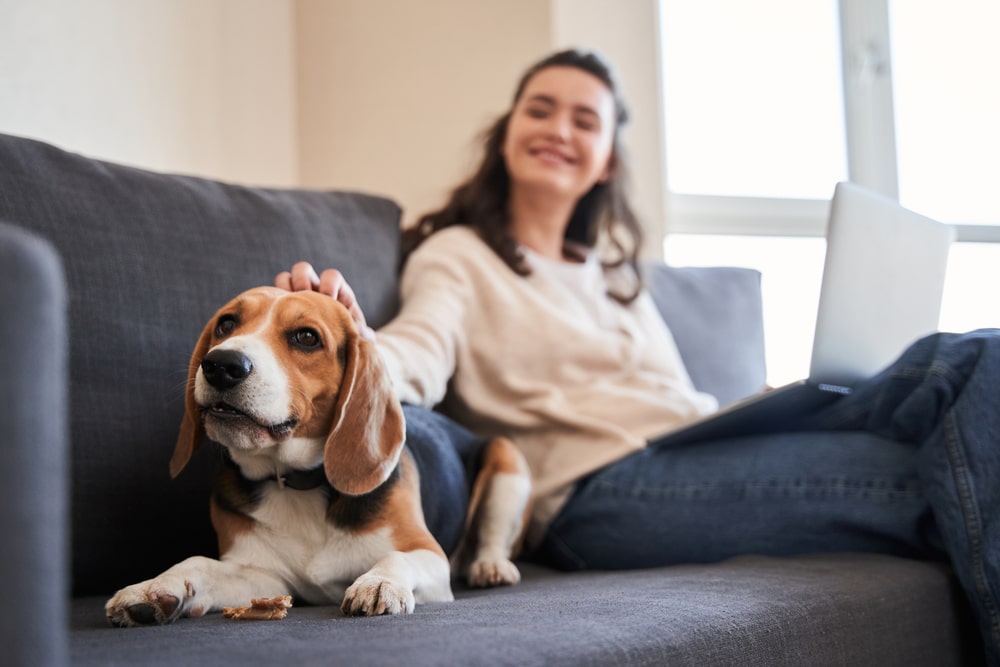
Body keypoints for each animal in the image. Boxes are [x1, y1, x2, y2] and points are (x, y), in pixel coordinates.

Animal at [106, 288, 532, 628]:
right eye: (227, 324)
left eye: (306, 337)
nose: (221, 365)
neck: (294, 482)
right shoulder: (269, 578)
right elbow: (197, 563)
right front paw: (153, 588)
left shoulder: (430, 557)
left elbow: (398, 556)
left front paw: (378, 582)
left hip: (507, 460)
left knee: (494, 534)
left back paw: (491, 566)